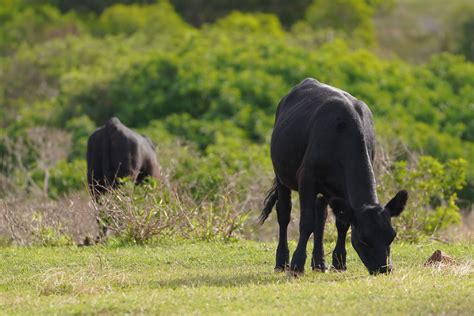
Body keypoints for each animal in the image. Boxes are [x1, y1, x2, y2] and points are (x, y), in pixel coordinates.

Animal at [260, 78, 408, 274]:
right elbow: (306, 222)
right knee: (284, 212)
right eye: (364, 240)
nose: (384, 268)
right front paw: (297, 264)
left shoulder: (341, 189)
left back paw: (319, 263)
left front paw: (339, 262)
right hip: (281, 175)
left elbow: (342, 223)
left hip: (325, 189)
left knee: (320, 218)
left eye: (392, 236)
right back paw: (282, 262)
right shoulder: (307, 177)